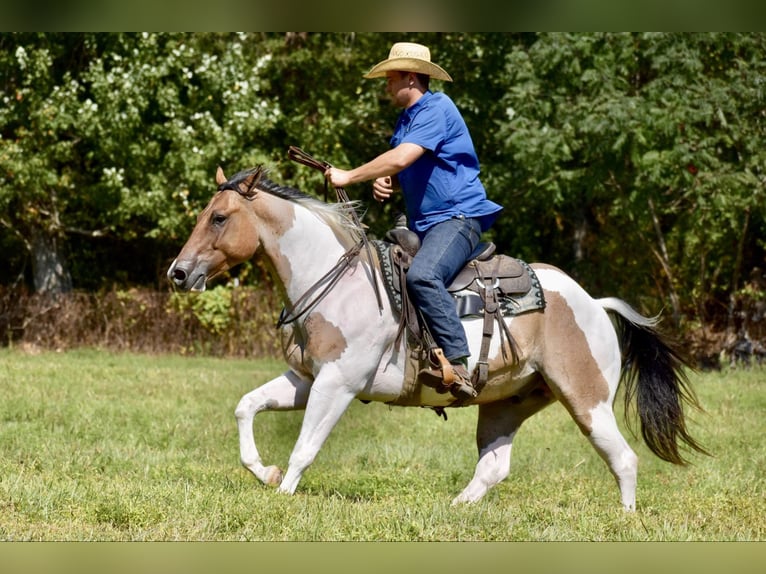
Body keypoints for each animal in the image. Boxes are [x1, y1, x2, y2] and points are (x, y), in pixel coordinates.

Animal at [166, 165, 708, 512]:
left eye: (219, 217)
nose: (178, 273)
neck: (335, 280)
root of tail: (595, 303)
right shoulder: (304, 380)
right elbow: (246, 407)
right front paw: (266, 472)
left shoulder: (337, 384)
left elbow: (305, 447)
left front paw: (281, 495)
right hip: (507, 403)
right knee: (493, 467)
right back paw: (455, 509)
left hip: (587, 400)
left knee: (624, 459)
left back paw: (626, 519)